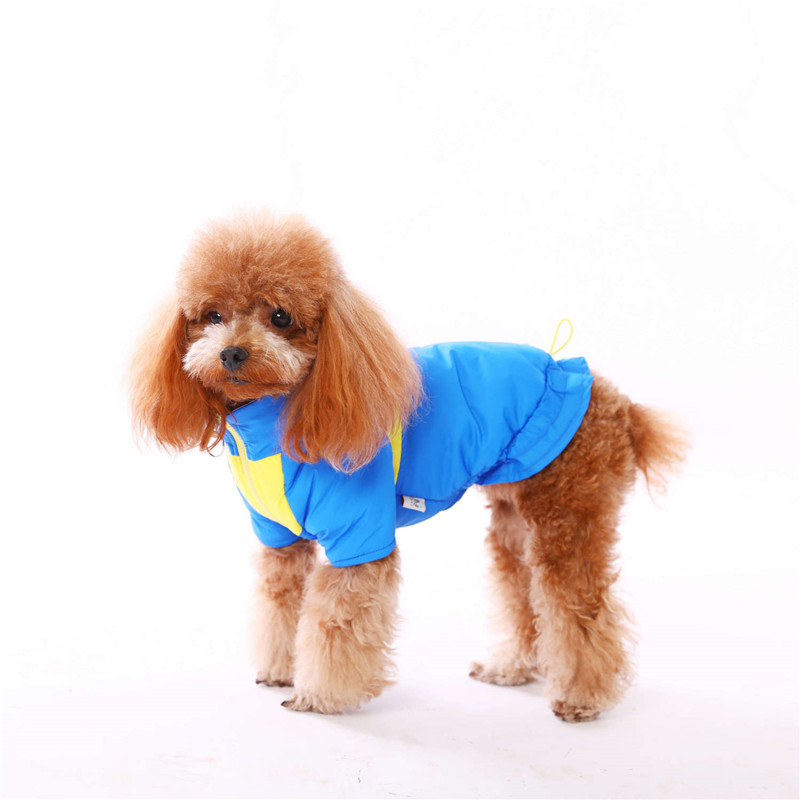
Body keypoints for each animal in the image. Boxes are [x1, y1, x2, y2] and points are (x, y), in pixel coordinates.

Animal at [130, 211, 686, 721]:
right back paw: (510, 668)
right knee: (524, 595)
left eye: (282, 317)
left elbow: (335, 623)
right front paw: (280, 669)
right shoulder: (280, 538)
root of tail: (617, 402)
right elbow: (280, 605)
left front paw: (319, 695)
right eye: (212, 315)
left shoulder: (360, 538)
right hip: (516, 524)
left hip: (568, 515)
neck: (276, 421)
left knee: (580, 607)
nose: (232, 353)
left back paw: (582, 698)